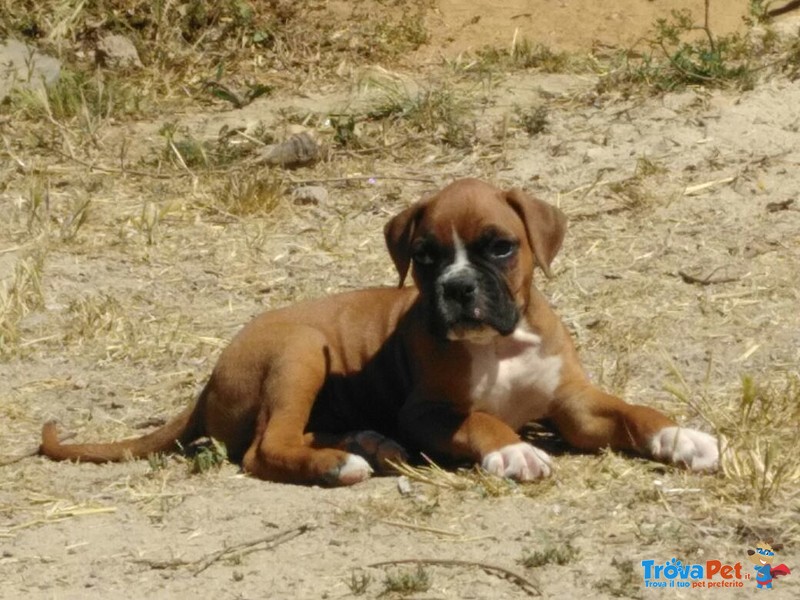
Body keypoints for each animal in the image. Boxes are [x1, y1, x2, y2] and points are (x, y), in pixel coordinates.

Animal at [40, 177, 720, 482]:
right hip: (302, 350)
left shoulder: (574, 402)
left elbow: (634, 411)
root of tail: (208, 381)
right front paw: (514, 449)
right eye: (424, 256)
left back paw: (368, 442)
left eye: (500, 247)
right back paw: (342, 463)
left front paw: (681, 437)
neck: (500, 345)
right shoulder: (428, 412)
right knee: (263, 447)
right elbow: (481, 420)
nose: (457, 288)